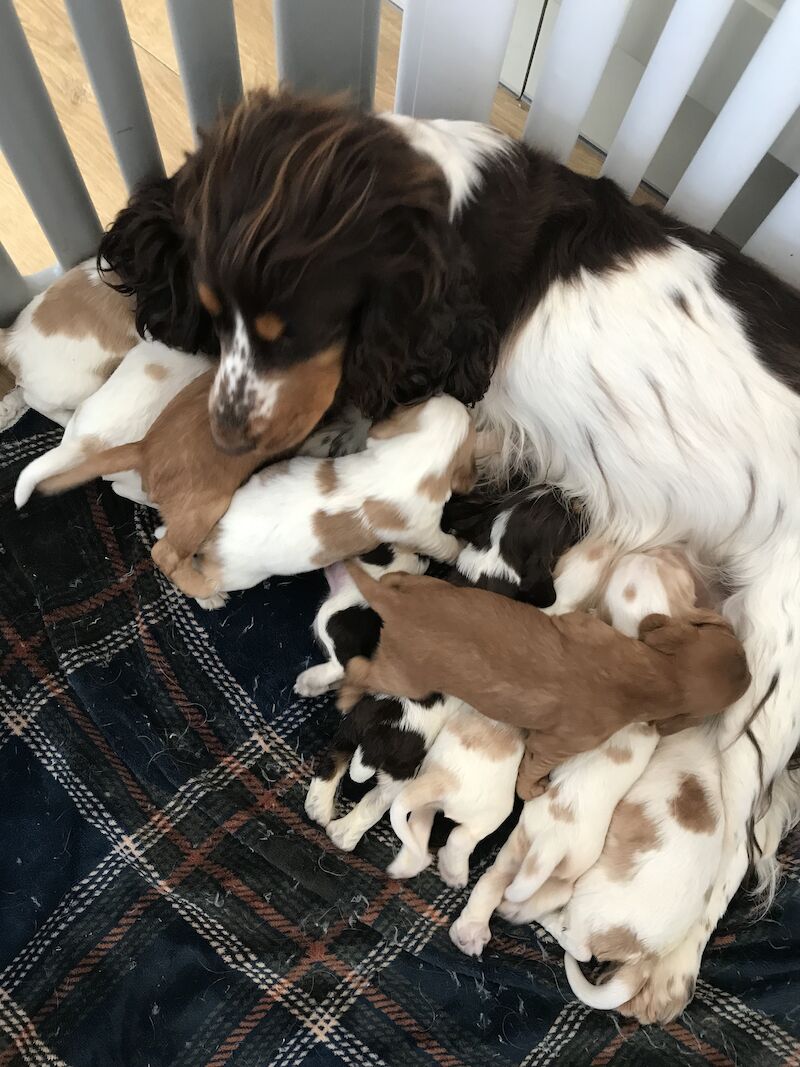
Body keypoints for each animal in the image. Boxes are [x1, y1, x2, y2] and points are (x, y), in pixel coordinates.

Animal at [163, 396, 475, 606]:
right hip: (238, 575)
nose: (462, 399)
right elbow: (442, 544)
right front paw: (457, 548)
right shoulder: (423, 529)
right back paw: (208, 597)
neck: (408, 459)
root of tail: (213, 534)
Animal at [339, 571, 750, 798]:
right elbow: (533, 766)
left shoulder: (587, 629)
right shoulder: (553, 745)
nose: (750, 675)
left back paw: (392, 578)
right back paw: (346, 694)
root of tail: (395, 605)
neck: (657, 676)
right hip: (404, 676)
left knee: (404, 578)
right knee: (360, 669)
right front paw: (531, 790)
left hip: (436, 588)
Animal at [388, 704, 526, 887]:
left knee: (418, 826)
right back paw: (454, 875)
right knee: (458, 840)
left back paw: (404, 867)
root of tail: (444, 779)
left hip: (425, 799)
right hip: (491, 816)